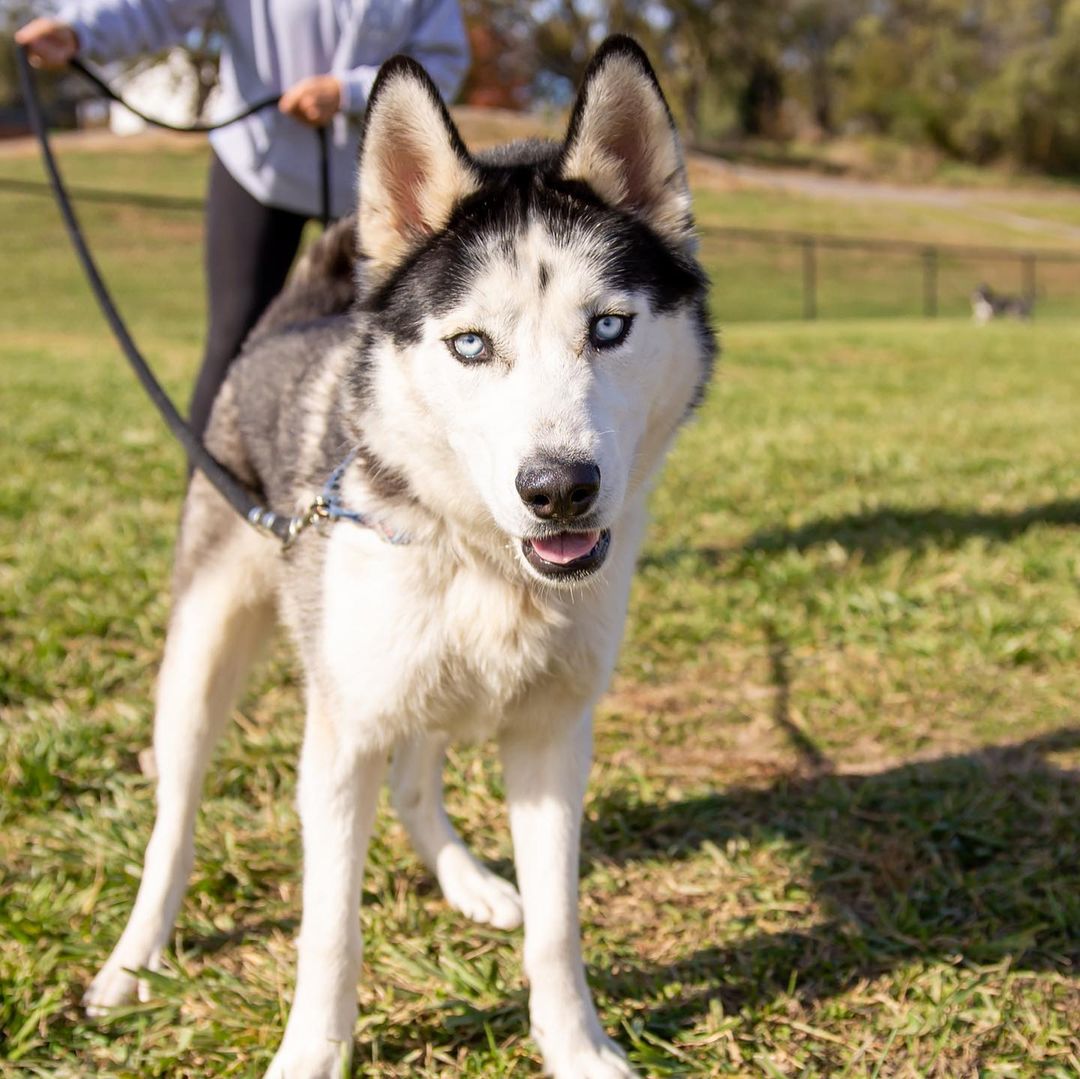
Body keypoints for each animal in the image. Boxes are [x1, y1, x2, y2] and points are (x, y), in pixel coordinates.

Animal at [82, 33, 717, 1079]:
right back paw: (133, 962)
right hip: (206, 656)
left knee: (418, 778)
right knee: (174, 822)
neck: (484, 560)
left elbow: (558, 927)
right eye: (472, 345)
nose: (558, 488)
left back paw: (470, 881)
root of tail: (293, 318)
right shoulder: (340, 743)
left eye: (609, 327)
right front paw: (311, 1054)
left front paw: (576, 1046)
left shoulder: (552, 738)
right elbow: (330, 933)